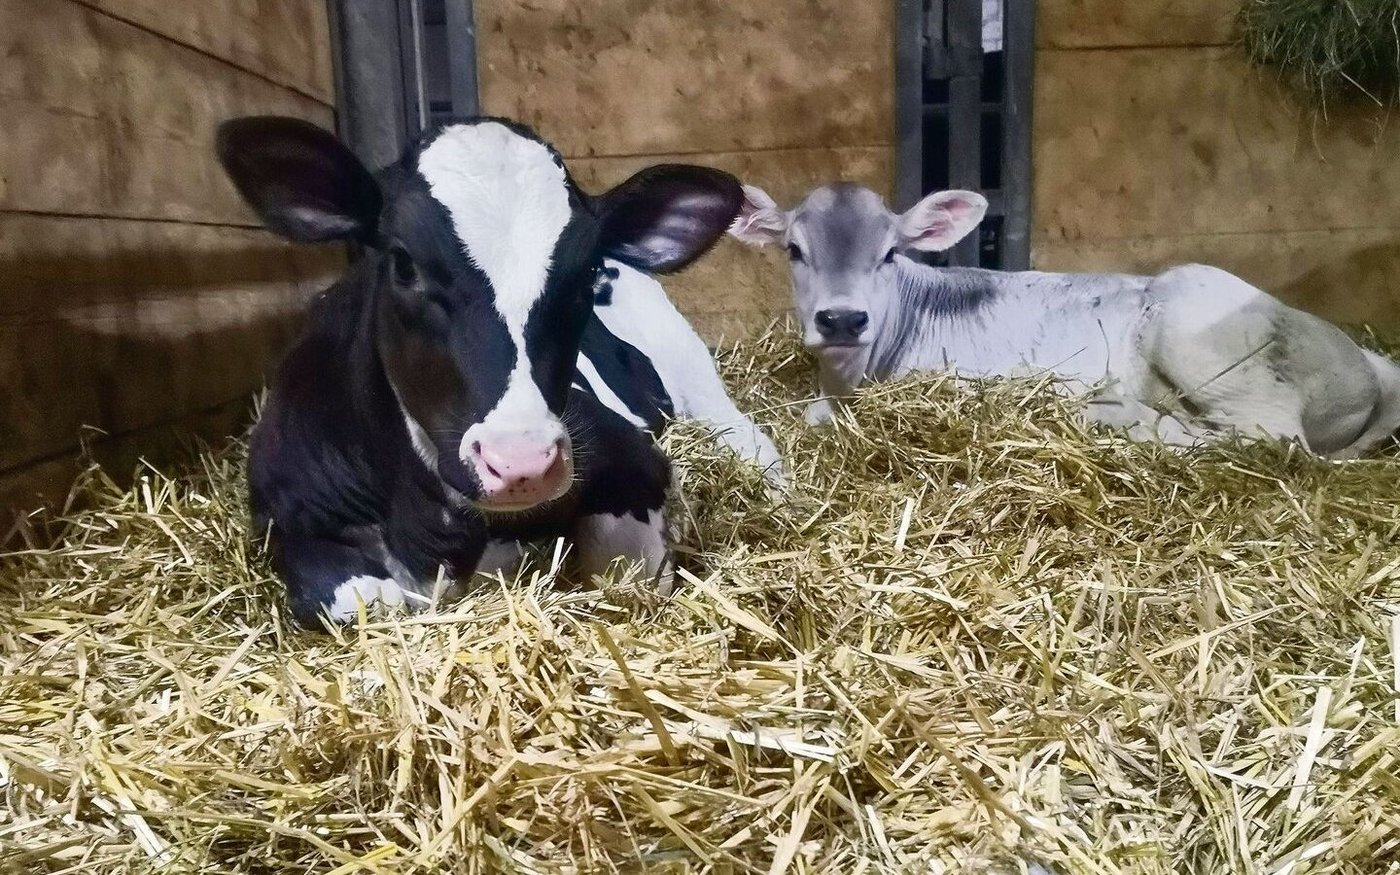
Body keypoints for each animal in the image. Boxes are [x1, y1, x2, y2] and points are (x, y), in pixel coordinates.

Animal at [215, 115, 783, 628]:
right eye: (403, 263)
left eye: (585, 273)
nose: (521, 462)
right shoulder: (282, 513)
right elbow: (358, 602)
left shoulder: (634, 460)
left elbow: (627, 570)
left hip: (694, 371)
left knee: (748, 438)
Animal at [728, 182, 1400, 458]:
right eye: (794, 250)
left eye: (891, 252)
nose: (842, 319)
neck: (848, 381)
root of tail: (1365, 363)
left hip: (1206, 334)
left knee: (1268, 435)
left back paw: (1121, 416)